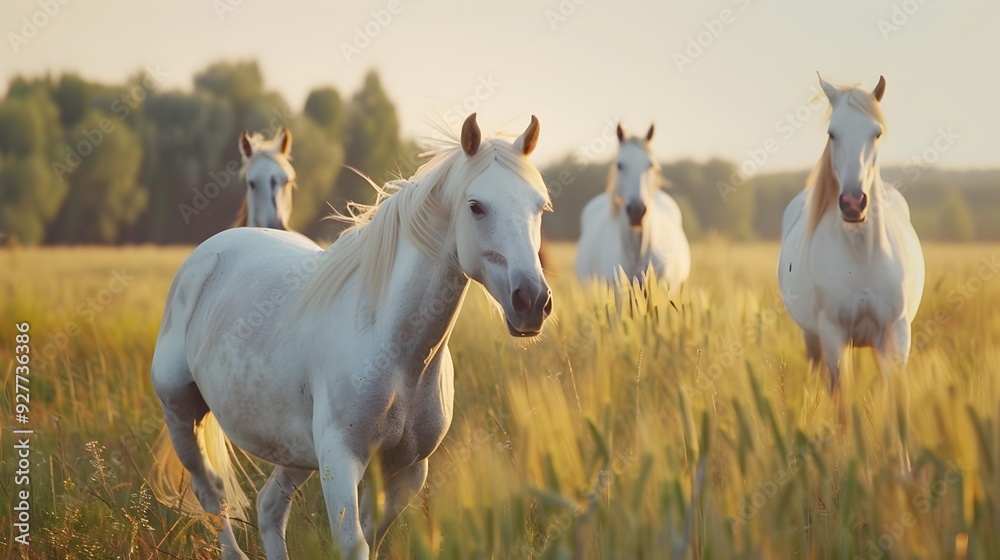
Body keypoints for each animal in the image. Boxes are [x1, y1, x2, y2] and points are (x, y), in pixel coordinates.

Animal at [149, 113, 552, 559]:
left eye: (540, 206)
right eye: (476, 206)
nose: (532, 300)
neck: (397, 352)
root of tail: (206, 256)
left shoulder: (406, 472)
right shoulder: (340, 461)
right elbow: (353, 545)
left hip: (296, 454)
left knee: (269, 508)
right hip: (181, 415)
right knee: (212, 493)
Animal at [778, 75, 925, 395]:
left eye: (876, 133)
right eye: (832, 133)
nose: (853, 202)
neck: (862, 255)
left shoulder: (896, 335)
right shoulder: (833, 337)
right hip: (812, 338)